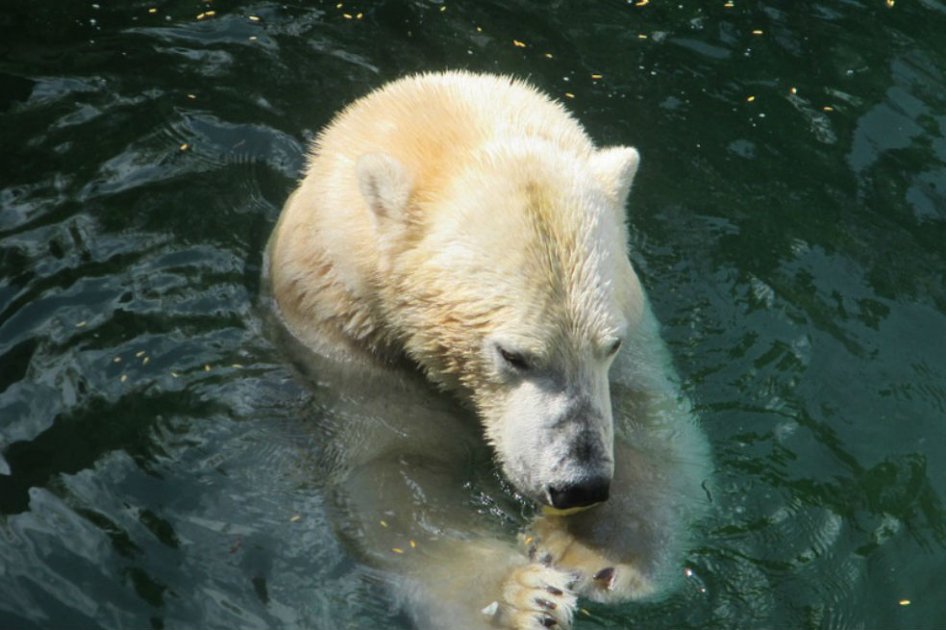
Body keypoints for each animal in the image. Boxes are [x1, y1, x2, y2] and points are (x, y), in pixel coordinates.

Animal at [263, 71, 712, 629]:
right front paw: (525, 599)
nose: (580, 484)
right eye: (514, 355)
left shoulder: (635, 339)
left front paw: (587, 552)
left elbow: (654, 432)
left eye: (610, 343)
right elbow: (397, 475)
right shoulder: (355, 349)